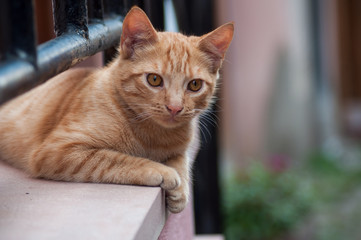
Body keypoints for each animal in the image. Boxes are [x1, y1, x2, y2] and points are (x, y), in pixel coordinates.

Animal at [0, 6, 232, 213]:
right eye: (154, 80)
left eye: (195, 85)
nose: (175, 108)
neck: (153, 134)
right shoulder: (58, 150)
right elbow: (114, 159)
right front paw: (159, 170)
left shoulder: (180, 148)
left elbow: (181, 160)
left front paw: (181, 190)